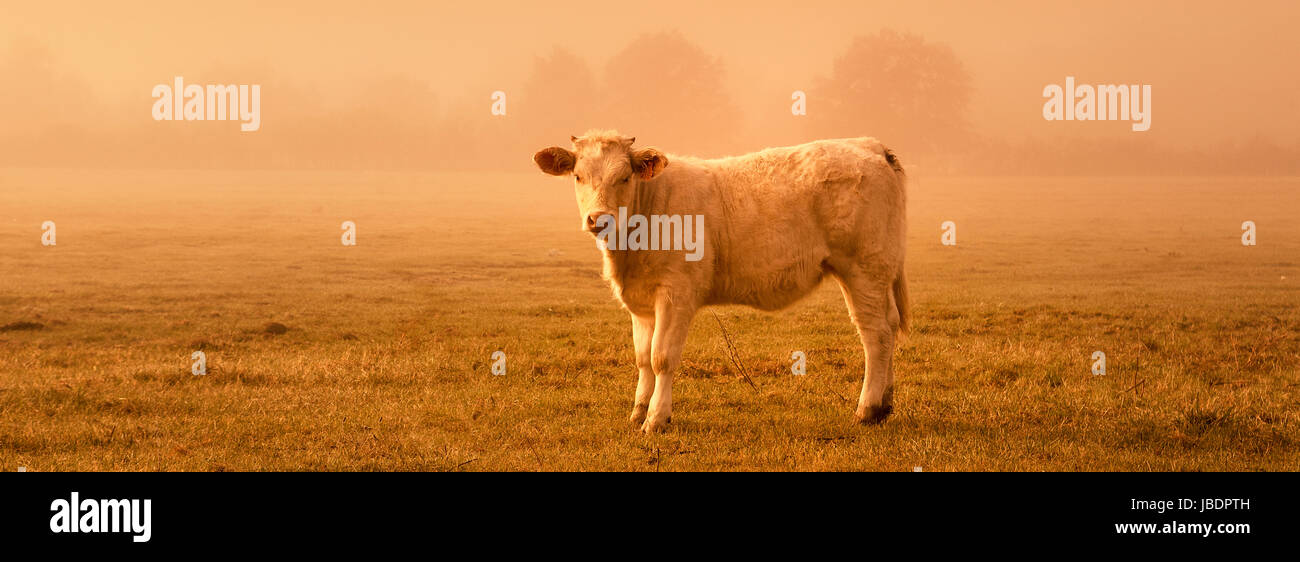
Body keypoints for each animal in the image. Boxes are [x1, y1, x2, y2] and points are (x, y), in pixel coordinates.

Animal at [534, 130, 909, 433]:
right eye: (578, 176)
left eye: (624, 177)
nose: (599, 219)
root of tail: (869, 144)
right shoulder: (641, 303)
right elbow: (642, 357)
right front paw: (639, 412)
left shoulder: (676, 293)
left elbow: (661, 356)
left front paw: (656, 419)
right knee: (889, 326)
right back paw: (885, 404)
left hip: (864, 268)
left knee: (875, 333)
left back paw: (867, 409)